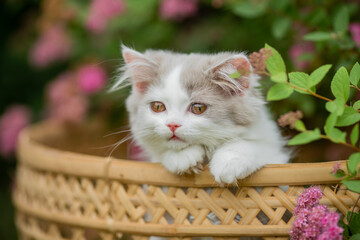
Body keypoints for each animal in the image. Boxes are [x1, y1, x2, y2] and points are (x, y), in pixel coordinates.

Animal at [112, 45, 290, 184]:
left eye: (198, 108)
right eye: (157, 107)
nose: (172, 125)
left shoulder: (274, 153)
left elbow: (250, 145)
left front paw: (228, 163)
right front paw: (183, 157)